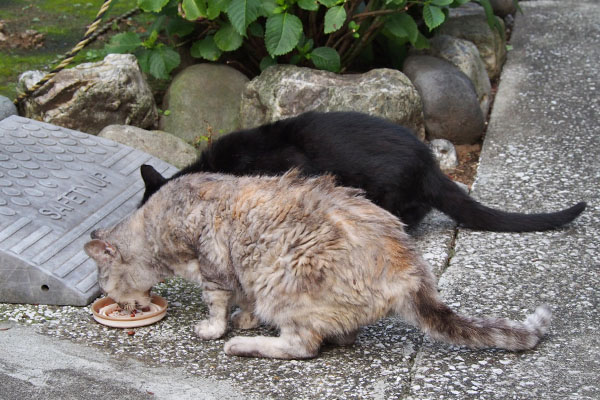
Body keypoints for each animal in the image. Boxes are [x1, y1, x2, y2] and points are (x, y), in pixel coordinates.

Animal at [85, 172, 552, 360]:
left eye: (105, 285)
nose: (115, 301)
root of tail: (410, 267)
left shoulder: (213, 263)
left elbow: (216, 302)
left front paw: (218, 328)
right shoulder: (241, 272)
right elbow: (242, 298)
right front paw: (245, 318)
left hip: (287, 281)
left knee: (303, 346)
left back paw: (246, 346)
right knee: (339, 334)